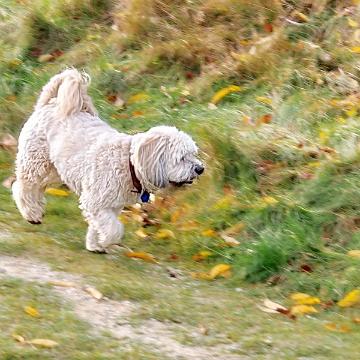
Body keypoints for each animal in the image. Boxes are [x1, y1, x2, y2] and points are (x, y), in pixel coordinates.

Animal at [12, 69, 204, 252]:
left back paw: (37, 210)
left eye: (193, 154)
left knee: (37, 188)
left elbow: (98, 225)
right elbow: (113, 228)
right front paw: (107, 241)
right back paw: (31, 213)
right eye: (182, 158)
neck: (128, 163)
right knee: (22, 186)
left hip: (55, 171)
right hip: (35, 163)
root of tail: (49, 103)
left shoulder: (111, 205)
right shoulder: (95, 202)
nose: (200, 169)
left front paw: (95, 244)